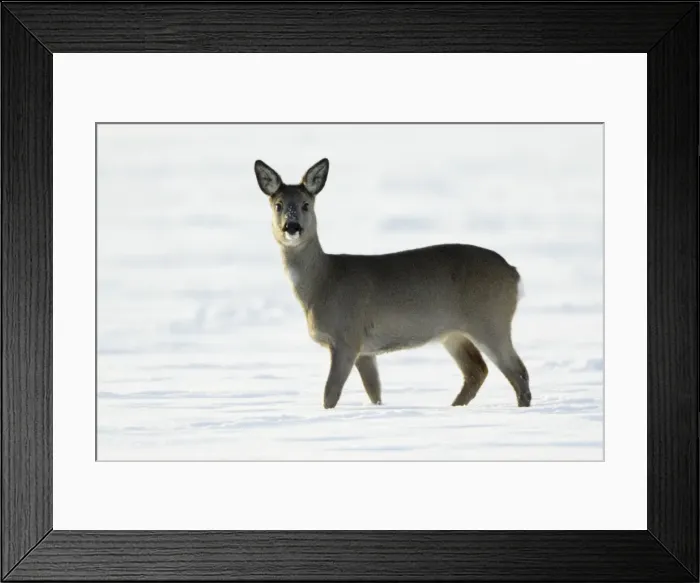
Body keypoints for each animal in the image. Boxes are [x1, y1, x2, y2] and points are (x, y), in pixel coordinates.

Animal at [254, 158, 531, 410]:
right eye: (278, 205)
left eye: (306, 204)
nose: (292, 227)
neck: (323, 282)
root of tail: (514, 273)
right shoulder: (365, 350)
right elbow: (374, 392)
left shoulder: (346, 337)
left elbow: (330, 394)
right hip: (453, 333)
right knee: (477, 371)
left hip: (490, 320)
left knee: (518, 372)